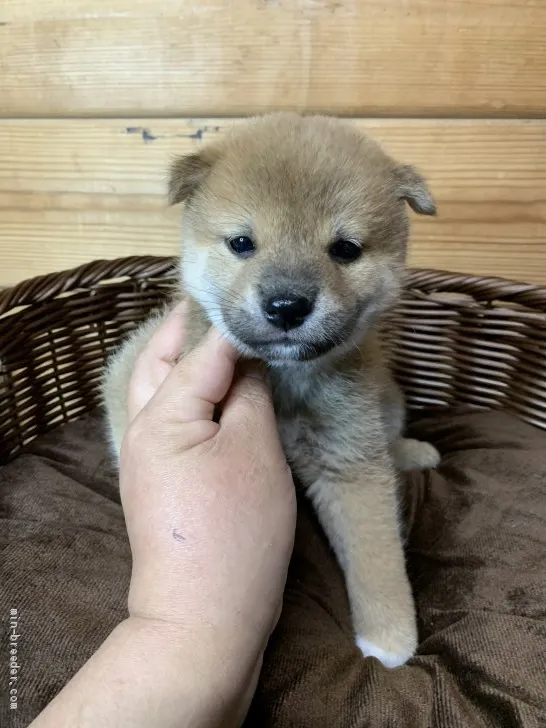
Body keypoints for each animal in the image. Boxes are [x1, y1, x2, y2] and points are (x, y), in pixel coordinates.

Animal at [101, 112, 438, 664]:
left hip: (386, 404)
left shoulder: (350, 459)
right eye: (242, 242)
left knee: (390, 441)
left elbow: (378, 554)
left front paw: (390, 637)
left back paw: (412, 452)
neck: (287, 380)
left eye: (345, 249)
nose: (286, 306)